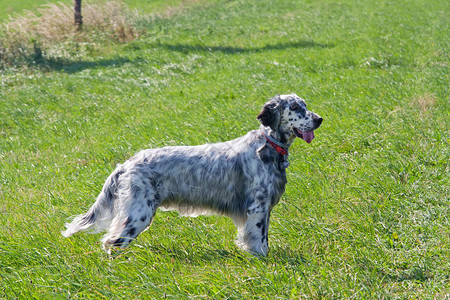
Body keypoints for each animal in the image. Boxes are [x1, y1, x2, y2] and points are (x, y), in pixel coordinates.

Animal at [62, 94, 324, 255]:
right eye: (295, 108)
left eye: (305, 104)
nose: (320, 119)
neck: (267, 146)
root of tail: (126, 164)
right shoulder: (257, 208)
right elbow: (258, 241)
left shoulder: (264, 209)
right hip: (138, 215)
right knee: (112, 242)